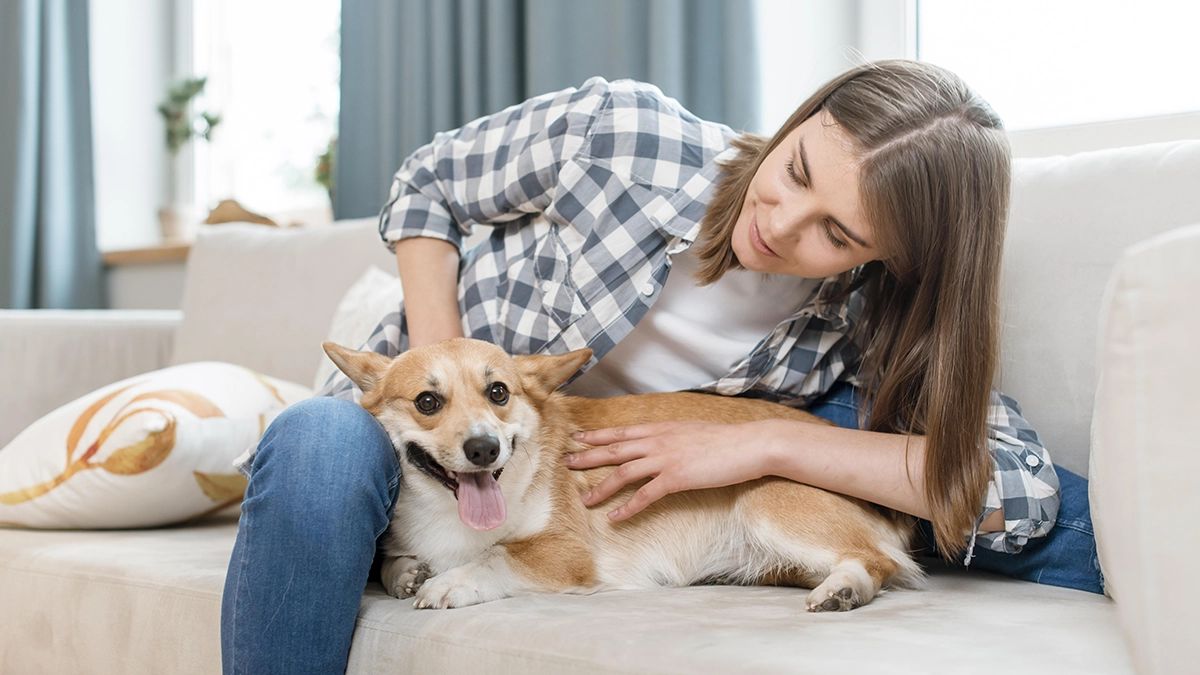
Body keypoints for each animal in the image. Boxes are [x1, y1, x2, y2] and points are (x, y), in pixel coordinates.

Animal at [319, 336, 916, 610]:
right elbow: (393, 562)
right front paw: (408, 573)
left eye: (499, 393)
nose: (484, 448)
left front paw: (448, 582)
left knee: (878, 561)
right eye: (427, 402)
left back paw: (845, 587)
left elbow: (497, 556)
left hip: (765, 504)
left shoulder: (564, 554)